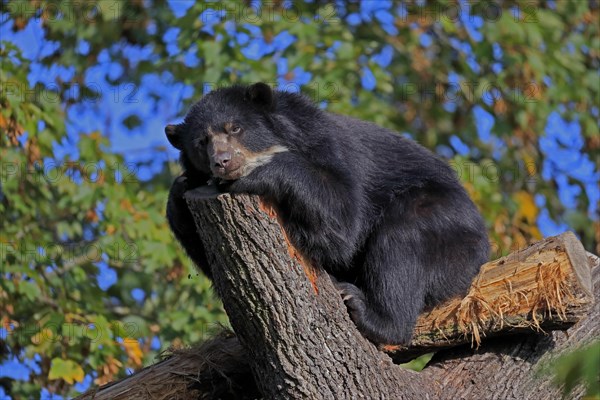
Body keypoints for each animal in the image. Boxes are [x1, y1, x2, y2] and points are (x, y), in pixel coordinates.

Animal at [164, 83, 488, 346]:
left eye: (234, 128)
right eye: (201, 142)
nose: (223, 161)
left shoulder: (321, 142)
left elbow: (342, 220)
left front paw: (257, 173)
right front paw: (181, 190)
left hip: (446, 221)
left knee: (402, 243)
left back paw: (369, 312)